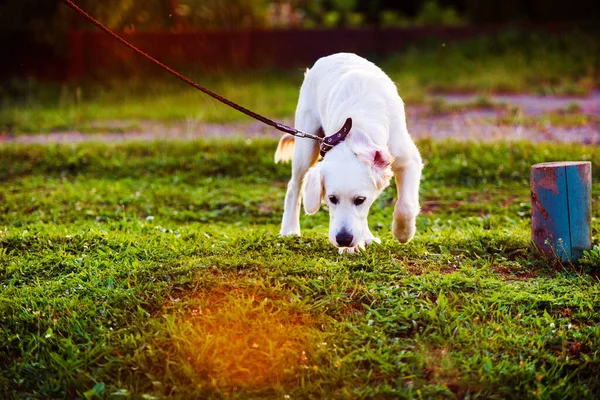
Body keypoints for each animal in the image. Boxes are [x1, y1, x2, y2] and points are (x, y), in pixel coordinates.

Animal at [274, 52, 422, 253]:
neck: (356, 130)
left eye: (360, 199)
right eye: (332, 198)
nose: (343, 239)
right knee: (294, 186)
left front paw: (403, 233)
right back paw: (289, 230)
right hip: (305, 145)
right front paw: (351, 247)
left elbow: (405, 205)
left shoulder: (408, 159)